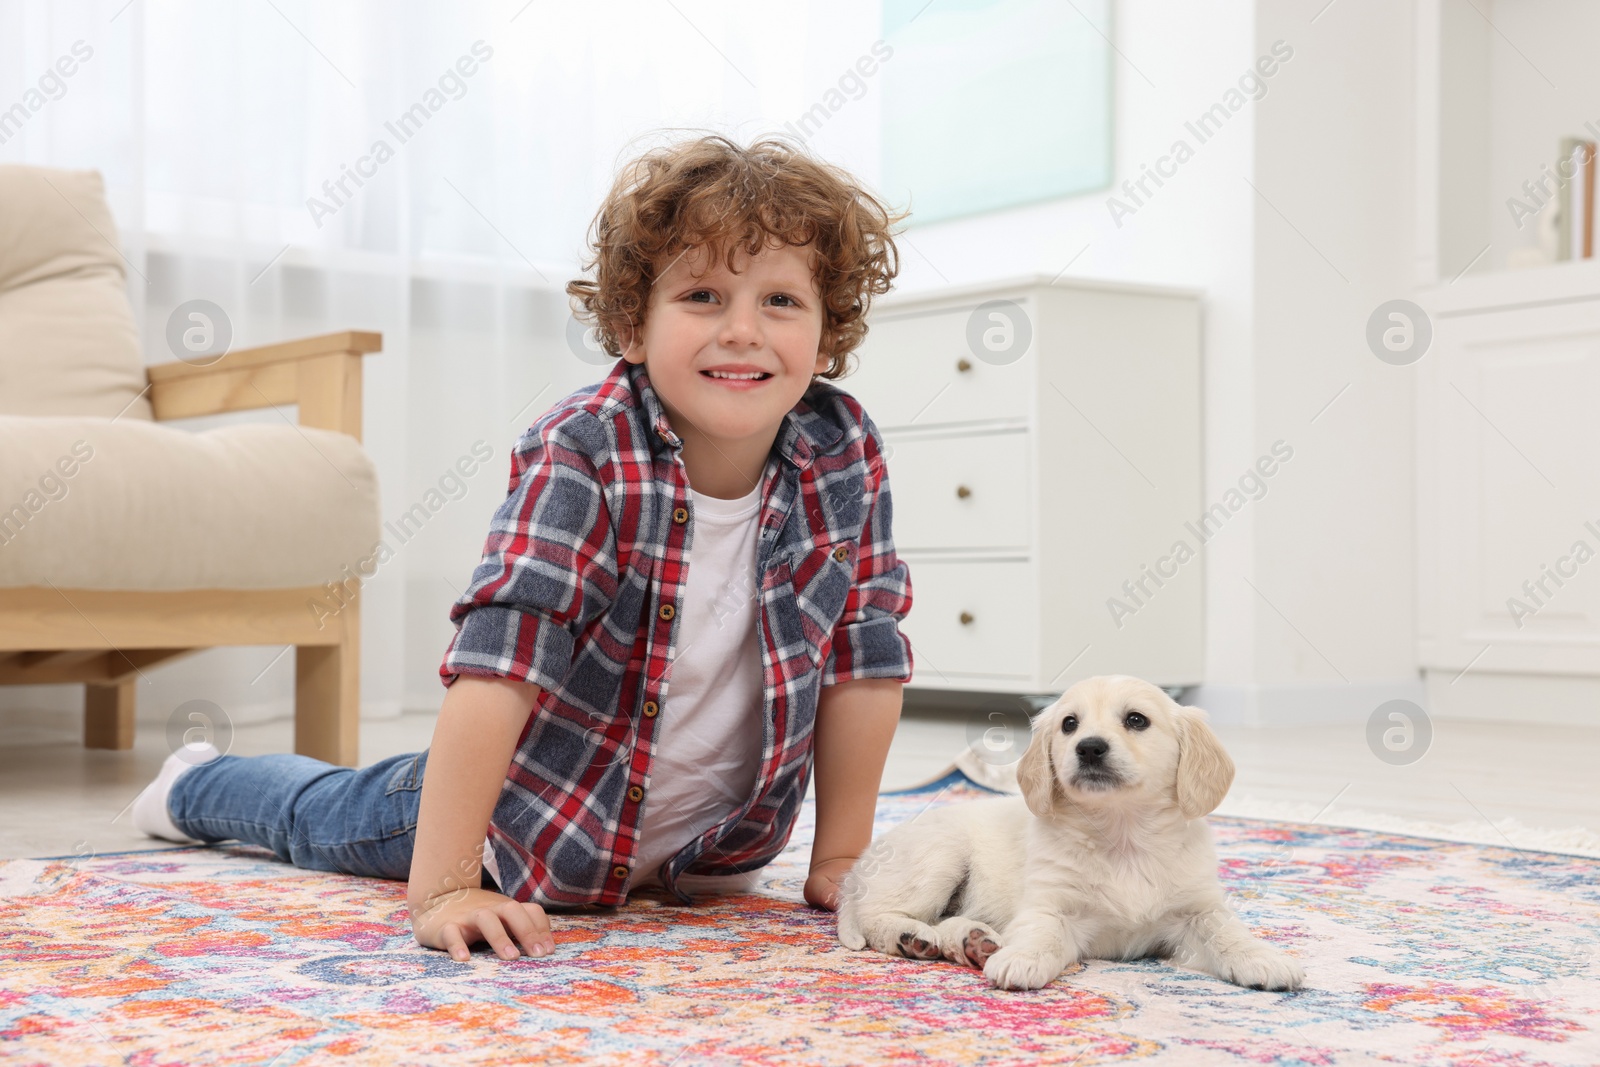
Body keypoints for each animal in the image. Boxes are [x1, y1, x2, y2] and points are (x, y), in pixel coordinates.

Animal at [832, 675, 1305, 991]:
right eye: (1069, 724)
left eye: (1137, 720)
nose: (1090, 747)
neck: (1123, 835)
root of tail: (857, 872)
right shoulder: (1050, 906)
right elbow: (1042, 934)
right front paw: (1021, 961)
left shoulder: (1196, 908)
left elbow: (1226, 930)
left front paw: (1263, 959)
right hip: (939, 858)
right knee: (878, 916)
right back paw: (912, 938)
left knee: (943, 921)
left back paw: (973, 943)